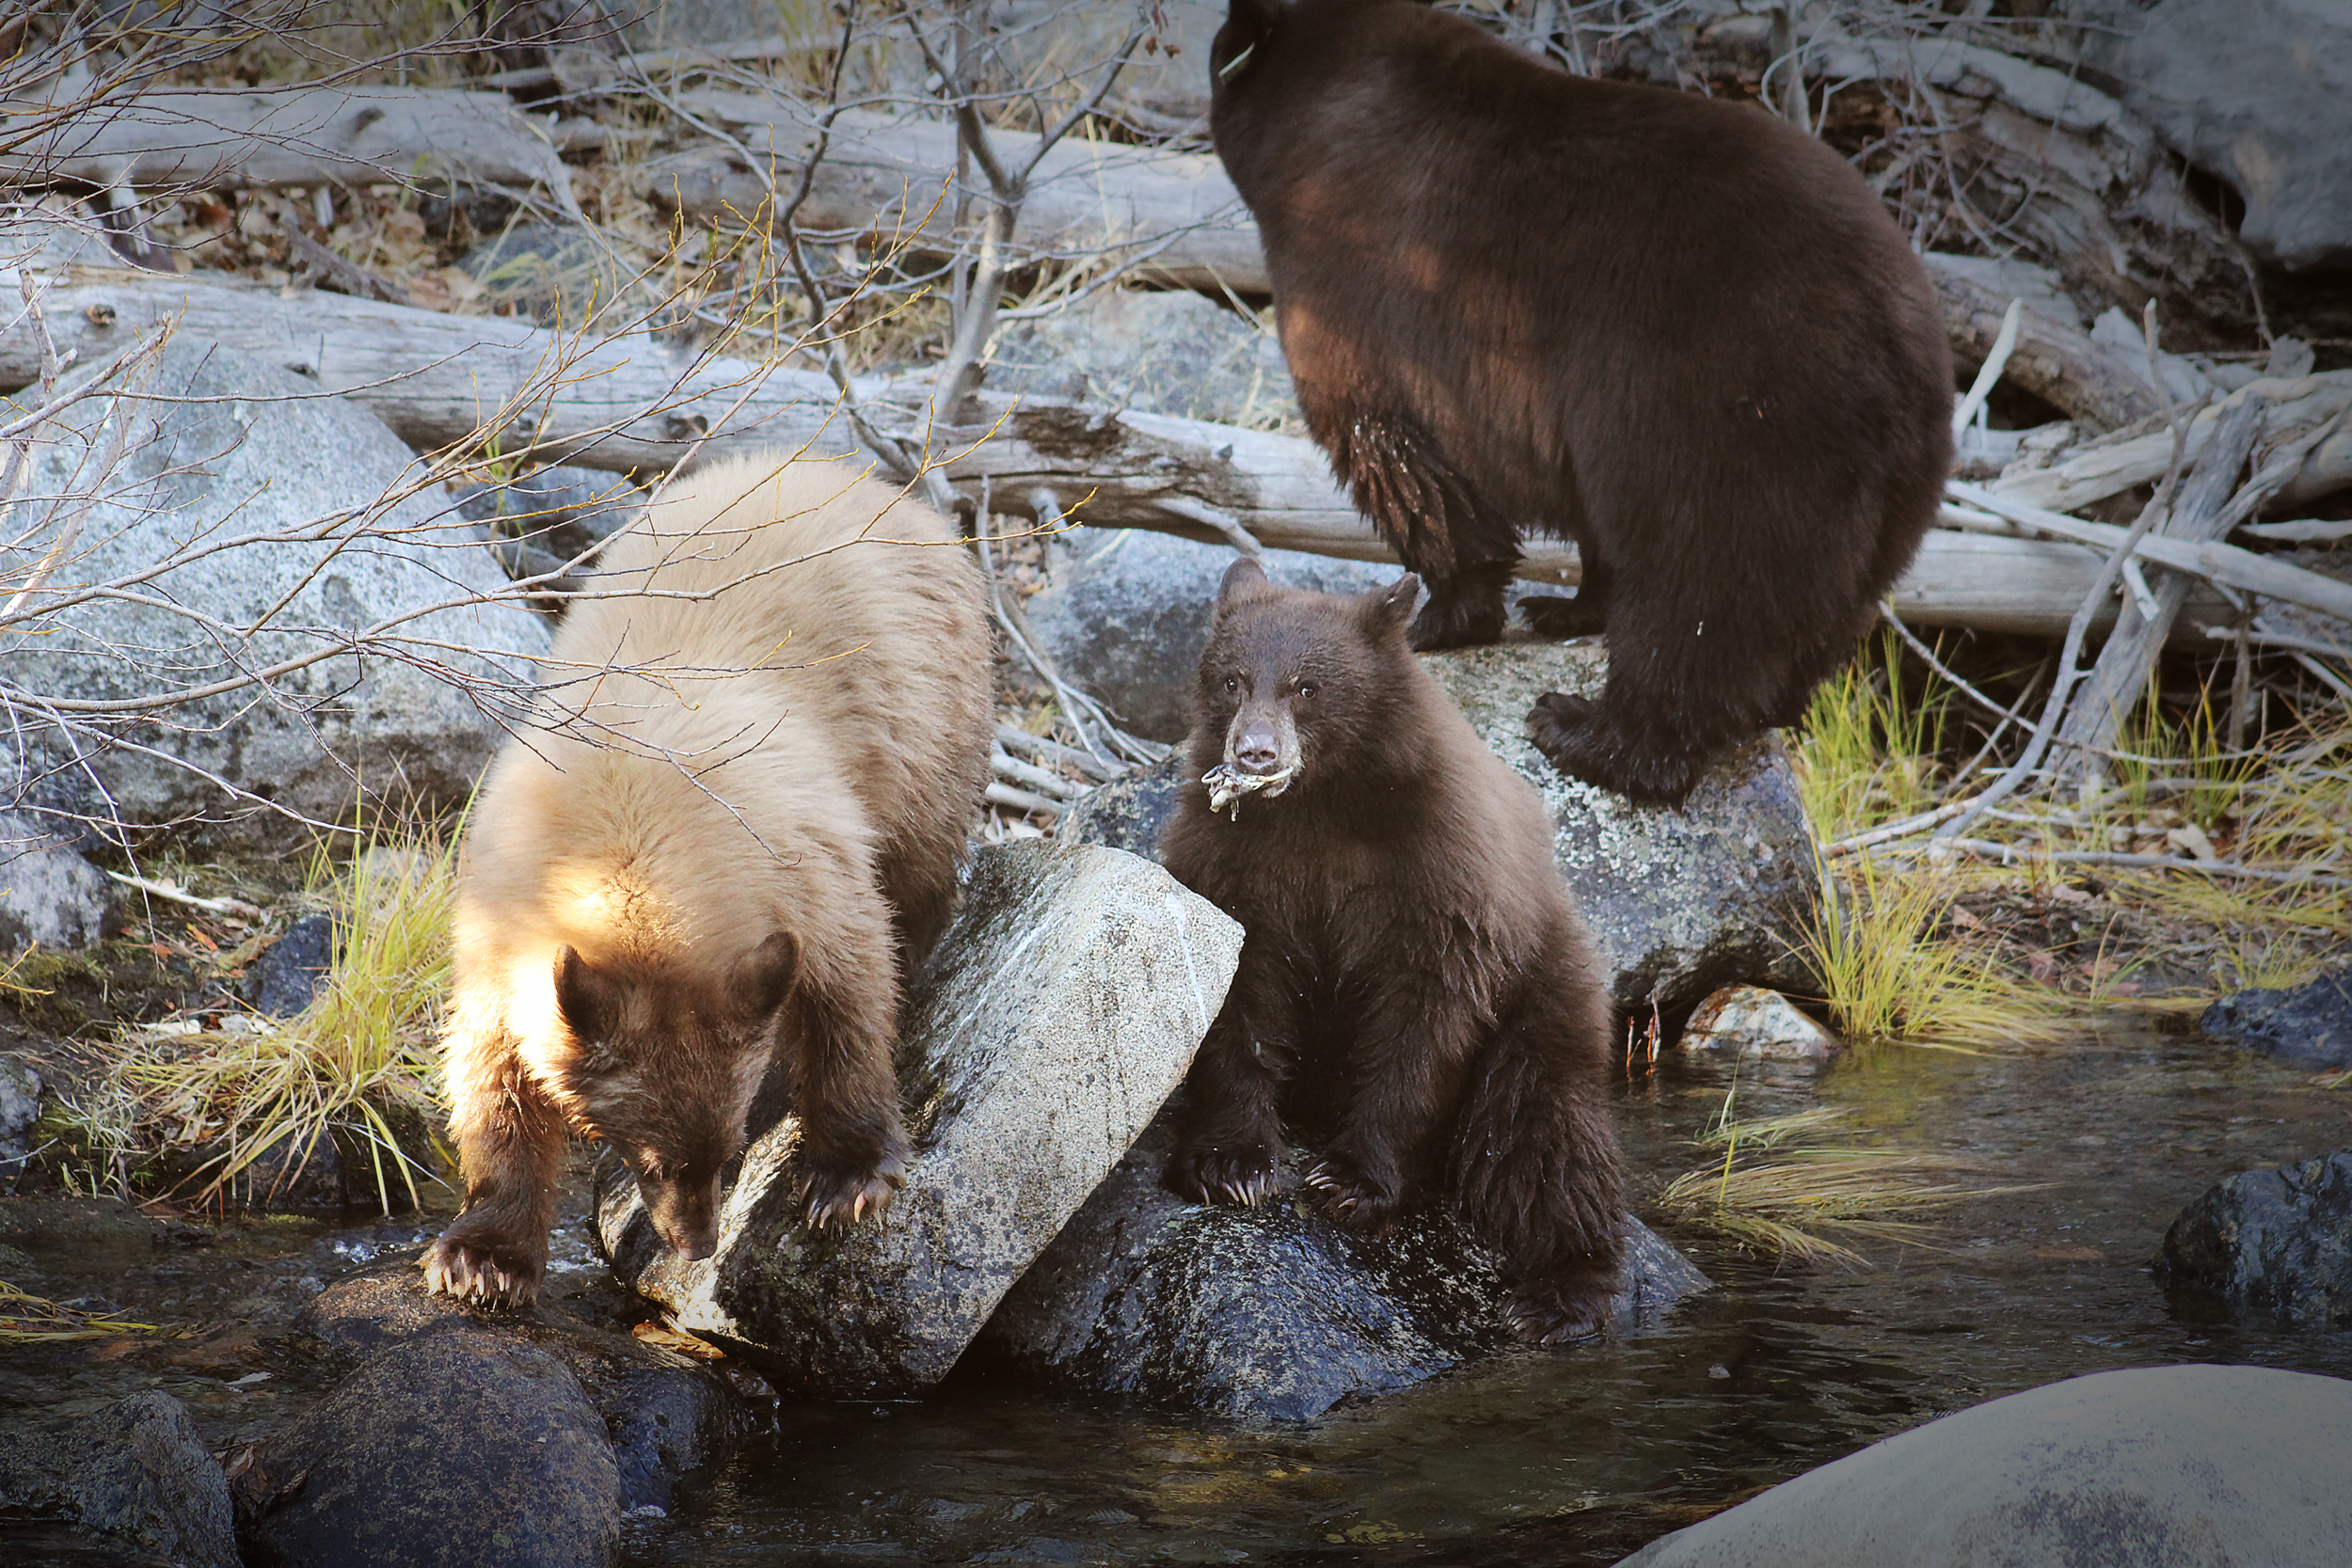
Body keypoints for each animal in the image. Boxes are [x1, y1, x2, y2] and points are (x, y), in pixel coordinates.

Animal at [423, 454, 993, 1307]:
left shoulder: (803, 860)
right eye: (650, 1157)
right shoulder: (497, 914)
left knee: (920, 871)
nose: (696, 1243)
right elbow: (494, 1066)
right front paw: (483, 1255)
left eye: (725, 1155)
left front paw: (847, 1174)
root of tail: (880, 488)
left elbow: (852, 983)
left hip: (930, 720)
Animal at [1159, 558, 1625, 1342]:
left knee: (1545, 1137)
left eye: (1307, 686)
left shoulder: (1436, 865)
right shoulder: (1231, 859)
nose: (1256, 751)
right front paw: (1233, 1162)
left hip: (1548, 995)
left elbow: (1427, 1008)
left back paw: (1559, 1293)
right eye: (1232, 679)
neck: (1318, 806)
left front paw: (1353, 1180)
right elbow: (1238, 988)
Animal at [1208, 0, 1955, 806]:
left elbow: (1406, 464)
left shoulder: (1363, 288)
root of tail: (1896, 342)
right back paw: (1772, 701)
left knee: (1698, 599)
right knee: (1820, 612)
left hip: (1730, 422)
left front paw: (1439, 617)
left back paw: (1590, 731)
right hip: (1893, 493)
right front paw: (1565, 604)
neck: (1318, 123)